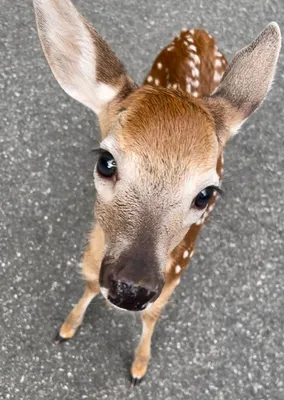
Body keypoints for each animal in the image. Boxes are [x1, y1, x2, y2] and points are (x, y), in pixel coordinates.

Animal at [32, 0, 280, 388]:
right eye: (106, 162)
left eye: (206, 194)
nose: (132, 288)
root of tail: (198, 31)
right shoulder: (93, 250)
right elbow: (88, 283)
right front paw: (67, 327)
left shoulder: (173, 275)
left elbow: (151, 318)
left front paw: (139, 366)